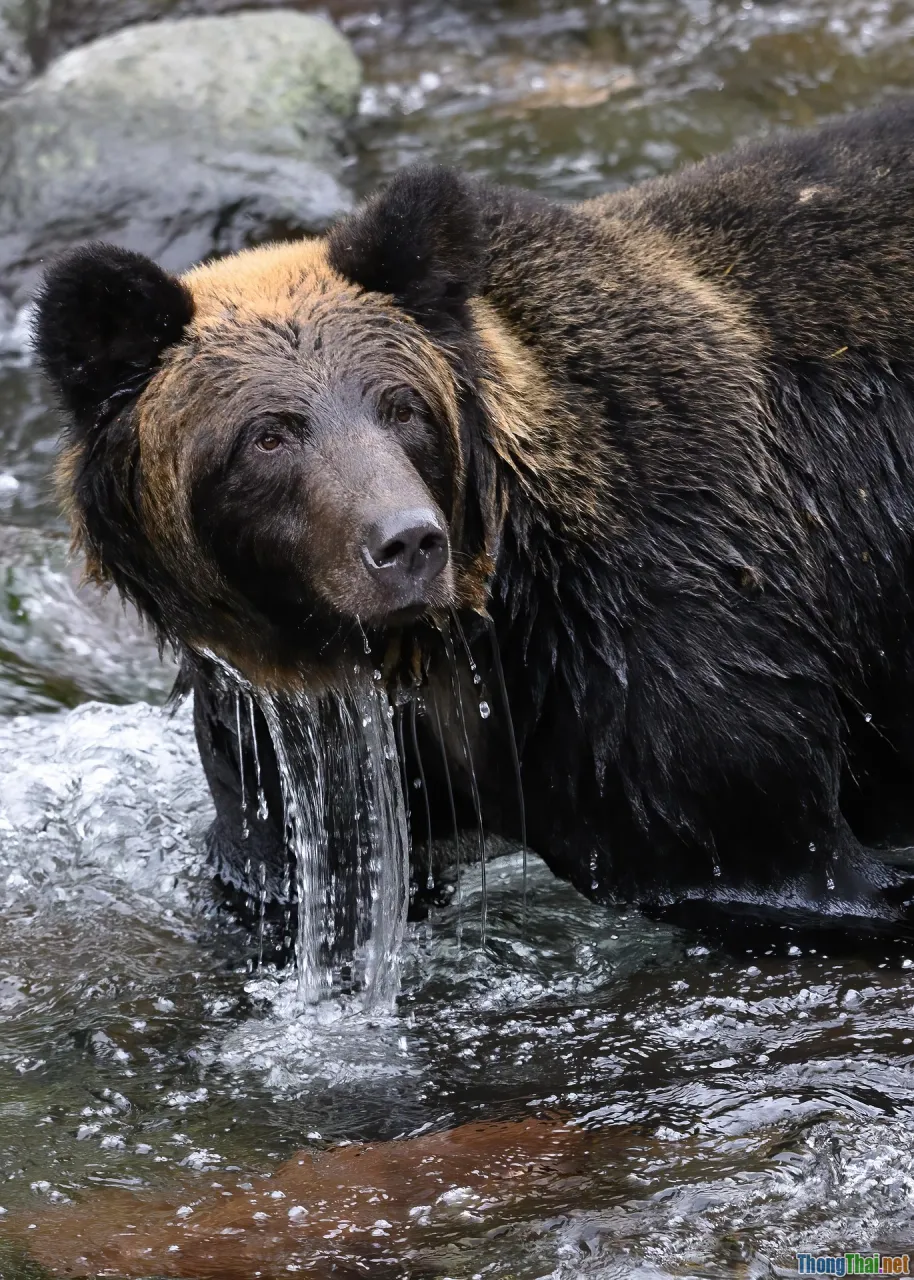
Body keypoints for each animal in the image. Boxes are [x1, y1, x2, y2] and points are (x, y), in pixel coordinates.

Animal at [33, 101, 914, 945]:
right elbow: (291, 874)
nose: (407, 542)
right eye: (269, 434)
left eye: (401, 407)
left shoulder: (669, 647)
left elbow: (769, 843)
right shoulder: (292, 744)